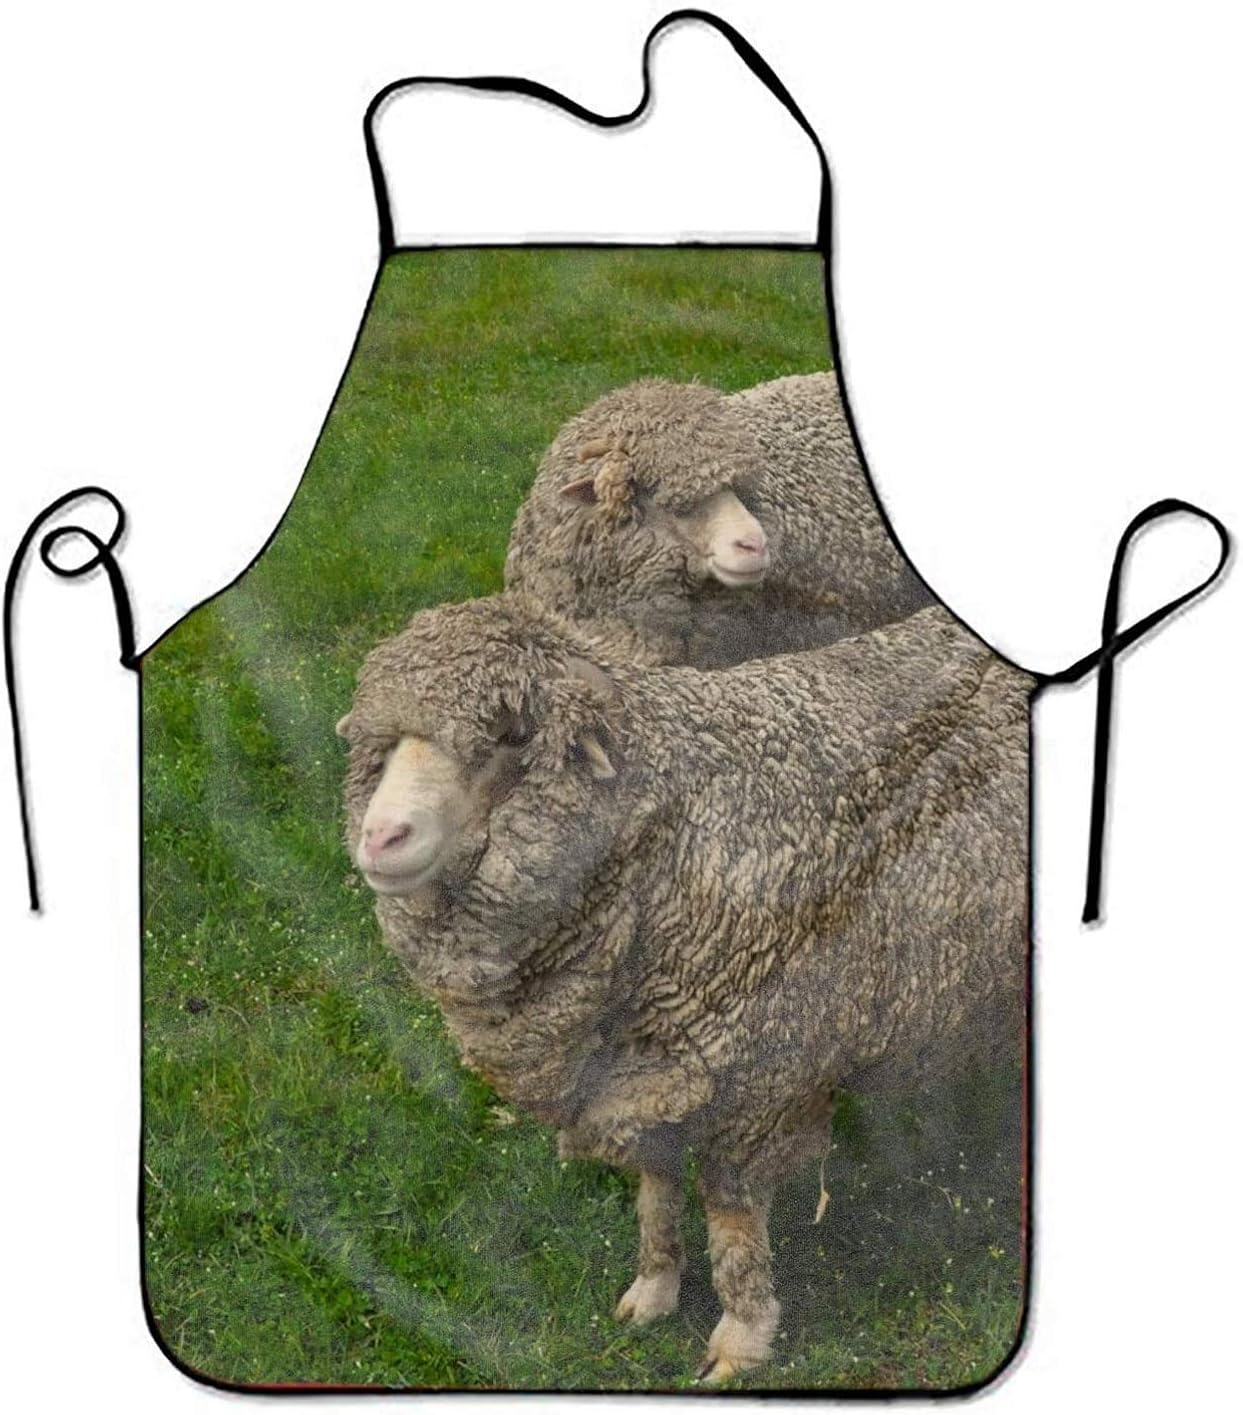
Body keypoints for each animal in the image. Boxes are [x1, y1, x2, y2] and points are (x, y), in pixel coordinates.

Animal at [337, 595, 1029, 1381]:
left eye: (510, 737)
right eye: (383, 744)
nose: (380, 837)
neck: (674, 831)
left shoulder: (757, 1076)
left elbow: (731, 1217)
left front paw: (740, 1337)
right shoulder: (647, 1070)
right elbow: (655, 1187)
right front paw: (653, 1288)